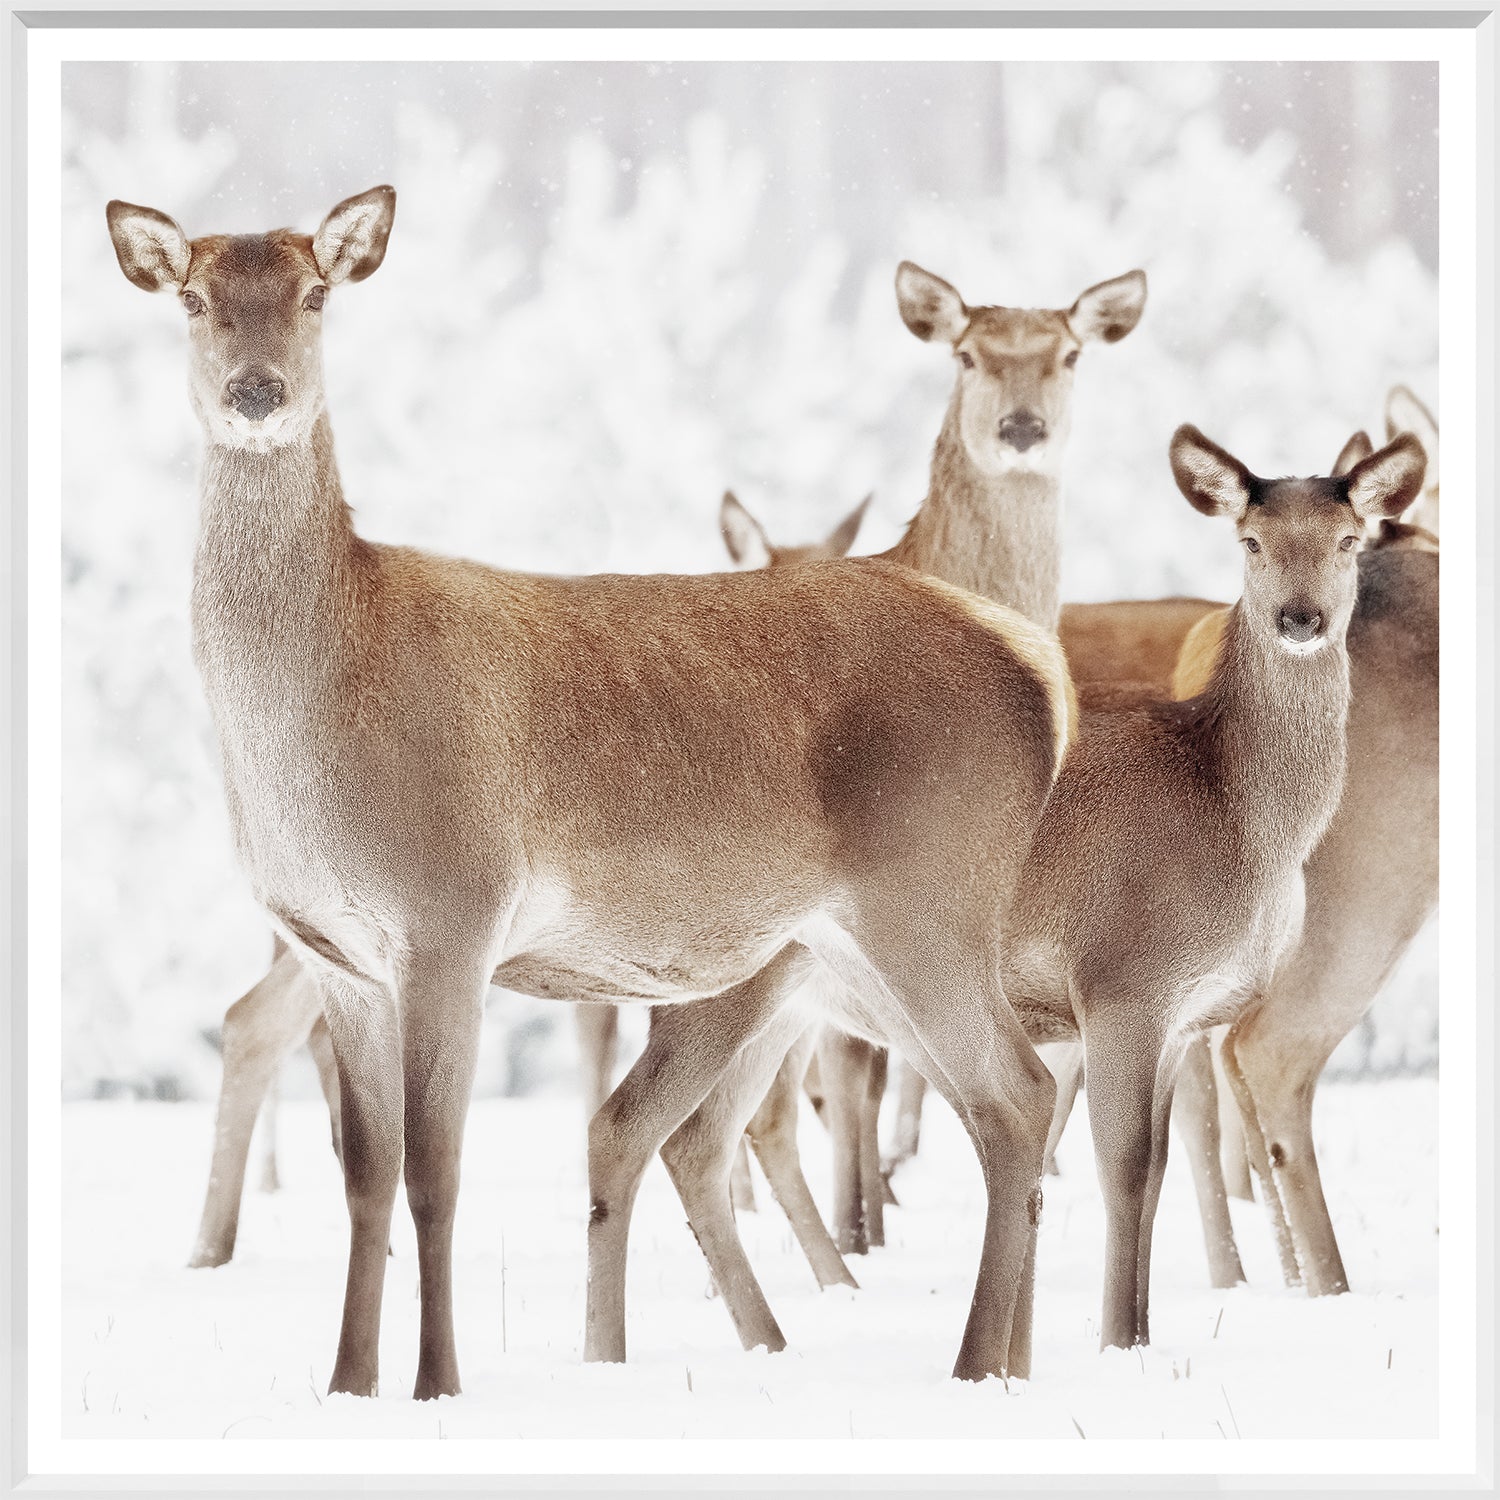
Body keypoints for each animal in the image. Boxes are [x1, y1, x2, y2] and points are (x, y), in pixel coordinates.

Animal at [108, 188, 1075, 1395]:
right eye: (193, 296)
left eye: (316, 292)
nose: (256, 391)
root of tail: (1037, 670)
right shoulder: (339, 954)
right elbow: (364, 1180)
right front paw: (345, 1385)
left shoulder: (450, 917)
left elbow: (436, 1173)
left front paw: (438, 1384)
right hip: (841, 946)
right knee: (992, 1105)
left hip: (929, 900)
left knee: (1015, 1095)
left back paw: (973, 1368)